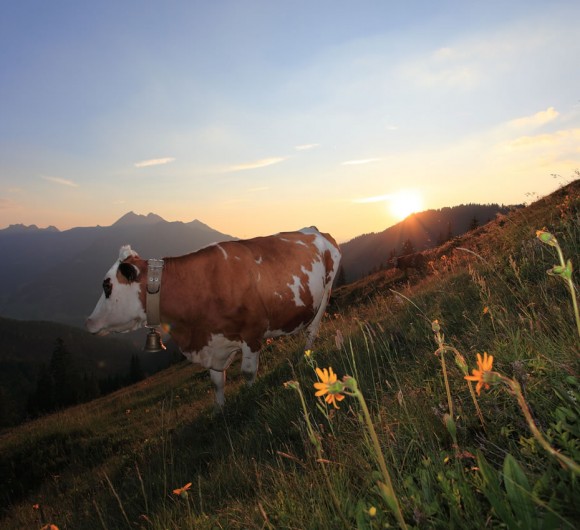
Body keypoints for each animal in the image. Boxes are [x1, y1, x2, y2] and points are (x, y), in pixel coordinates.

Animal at [85, 226, 340, 404]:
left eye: (107, 286)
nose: (88, 322)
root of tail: (316, 230)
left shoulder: (252, 332)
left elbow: (248, 372)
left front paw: (251, 395)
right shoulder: (212, 343)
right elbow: (217, 382)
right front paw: (220, 409)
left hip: (325, 292)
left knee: (312, 331)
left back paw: (305, 357)